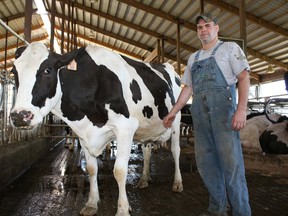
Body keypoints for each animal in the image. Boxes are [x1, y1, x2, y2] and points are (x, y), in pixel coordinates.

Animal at [11, 41, 183, 216]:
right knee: (147, 150)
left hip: (176, 119)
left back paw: (177, 183)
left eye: (47, 70)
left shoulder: (126, 127)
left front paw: (122, 209)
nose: (19, 116)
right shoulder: (84, 133)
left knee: (175, 151)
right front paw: (92, 203)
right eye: (14, 72)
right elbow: (92, 169)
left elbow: (120, 170)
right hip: (146, 129)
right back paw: (143, 179)